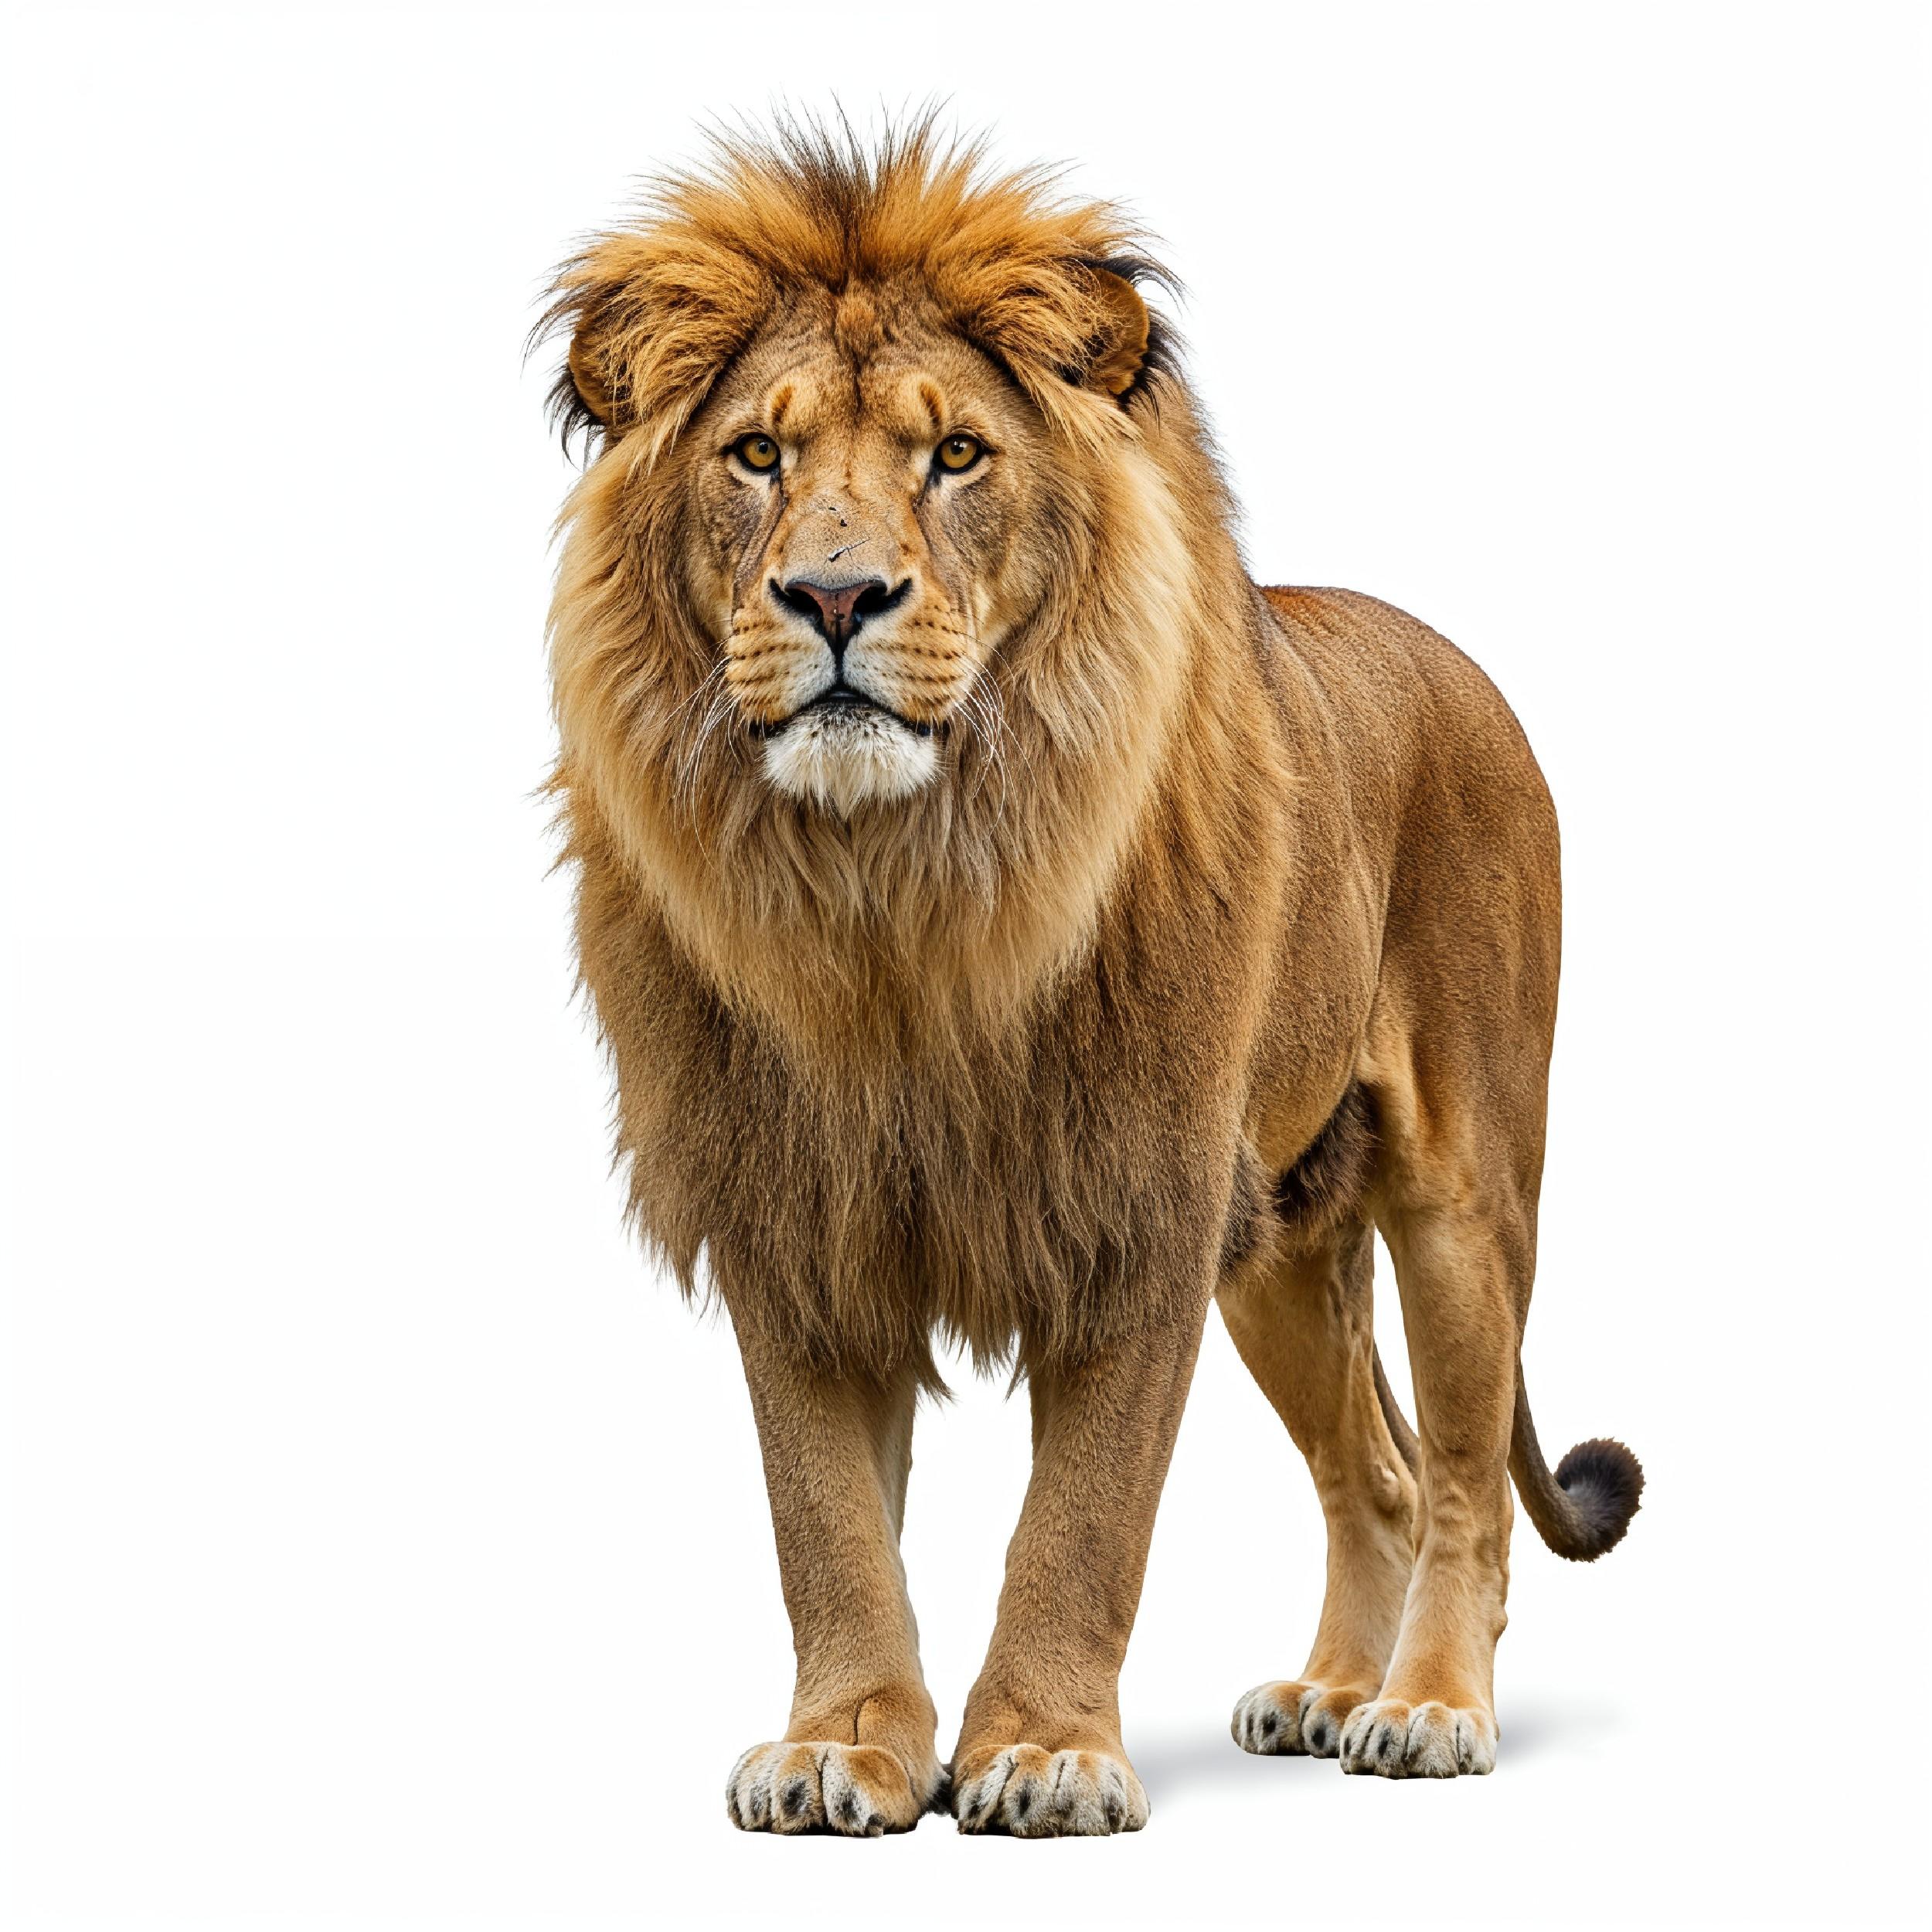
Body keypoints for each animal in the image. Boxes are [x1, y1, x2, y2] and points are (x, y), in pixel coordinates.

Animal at [538, 119, 1642, 1837]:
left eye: (955, 456)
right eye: (759, 457)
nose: (834, 597)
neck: (892, 892)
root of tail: (1450, 659)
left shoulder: (1142, 1195)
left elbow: (1084, 1516)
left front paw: (1047, 1753)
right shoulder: (793, 1209)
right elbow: (823, 1520)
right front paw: (845, 1743)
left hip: (1463, 1188)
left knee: (1465, 1483)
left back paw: (1426, 1708)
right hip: (1283, 1250)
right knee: (1378, 1473)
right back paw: (1331, 1690)